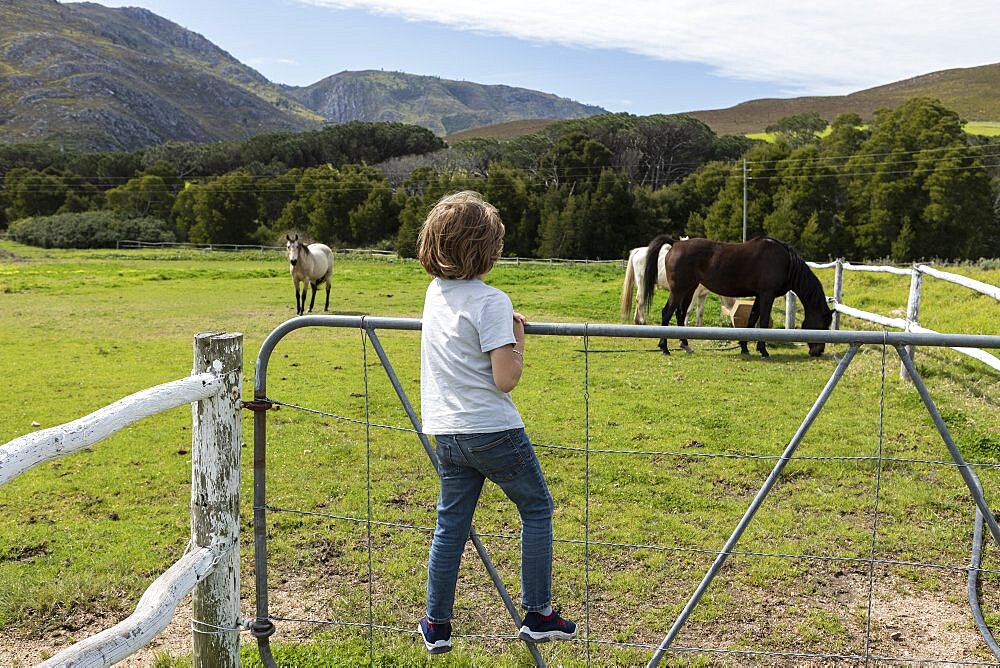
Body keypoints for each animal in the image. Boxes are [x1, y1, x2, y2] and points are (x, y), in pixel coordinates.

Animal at [640, 237, 836, 358]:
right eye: (823, 325)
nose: (818, 351)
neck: (785, 262)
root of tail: (675, 244)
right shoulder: (767, 294)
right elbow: (763, 321)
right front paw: (763, 350)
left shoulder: (760, 296)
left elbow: (752, 319)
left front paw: (744, 347)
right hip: (679, 290)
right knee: (667, 313)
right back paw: (664, 347)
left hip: (688, 289)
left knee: (679, 314)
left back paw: (685, 344)